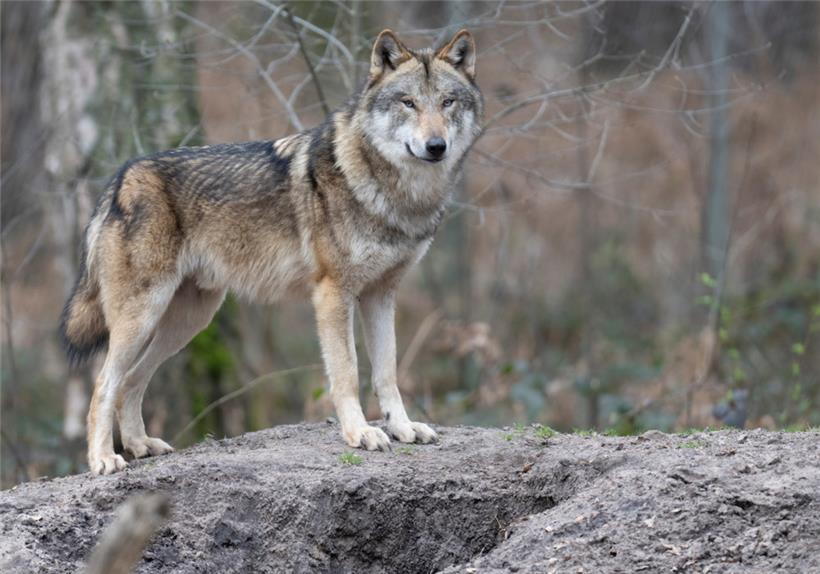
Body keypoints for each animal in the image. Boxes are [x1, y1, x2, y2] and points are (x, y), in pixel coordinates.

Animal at [60, 29, 483, 475]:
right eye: (408, 102)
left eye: (447, 102)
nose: (435, 146)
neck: (396, 194)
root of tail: (120, 178)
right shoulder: (333, 294)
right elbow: (348, 373)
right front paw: (360, 433)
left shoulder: (381, 296)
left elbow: (387, 373)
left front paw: (402, 428)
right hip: (143, 317)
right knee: (104, 384)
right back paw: (103, 459)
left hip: (187, 322)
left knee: (131, 381)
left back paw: (141, 445)